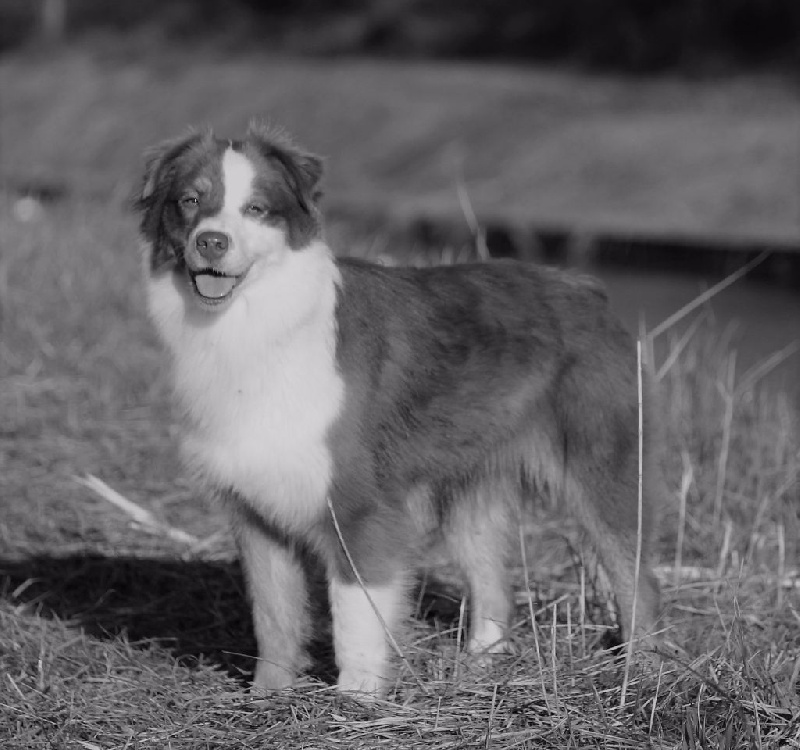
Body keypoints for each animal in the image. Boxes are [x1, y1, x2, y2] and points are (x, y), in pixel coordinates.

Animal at [134, 125, 664, 700]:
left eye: (256, 208)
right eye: (190, 201)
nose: (211, 241)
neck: (252, 324)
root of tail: (586, 288)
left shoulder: (359, 507)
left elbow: (355, 618)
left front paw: (356, 701)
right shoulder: (254, 507)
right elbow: (273, 616)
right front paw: (267, 698)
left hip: (600, 466)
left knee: (635, 573)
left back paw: (645, 674)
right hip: (471, 478)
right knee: (492, 577)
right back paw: (480, 666)